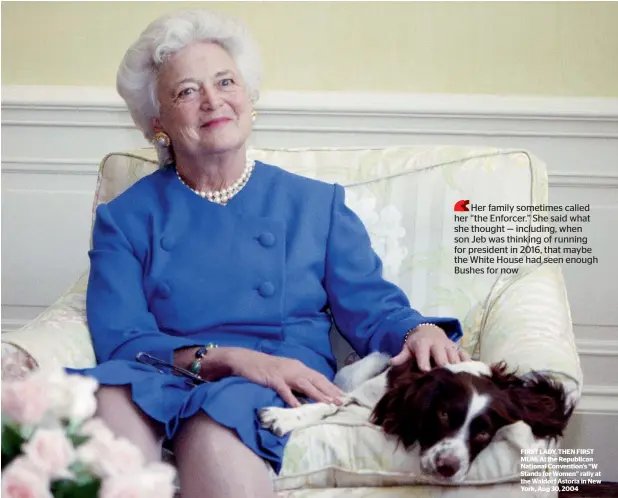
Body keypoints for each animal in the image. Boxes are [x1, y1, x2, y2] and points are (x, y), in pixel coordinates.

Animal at [256, 350, 572, 482]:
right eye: (443, 414)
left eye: (484, 433)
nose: (447, 467)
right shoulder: (365, 396)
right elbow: (329, 403)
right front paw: (282, 417)